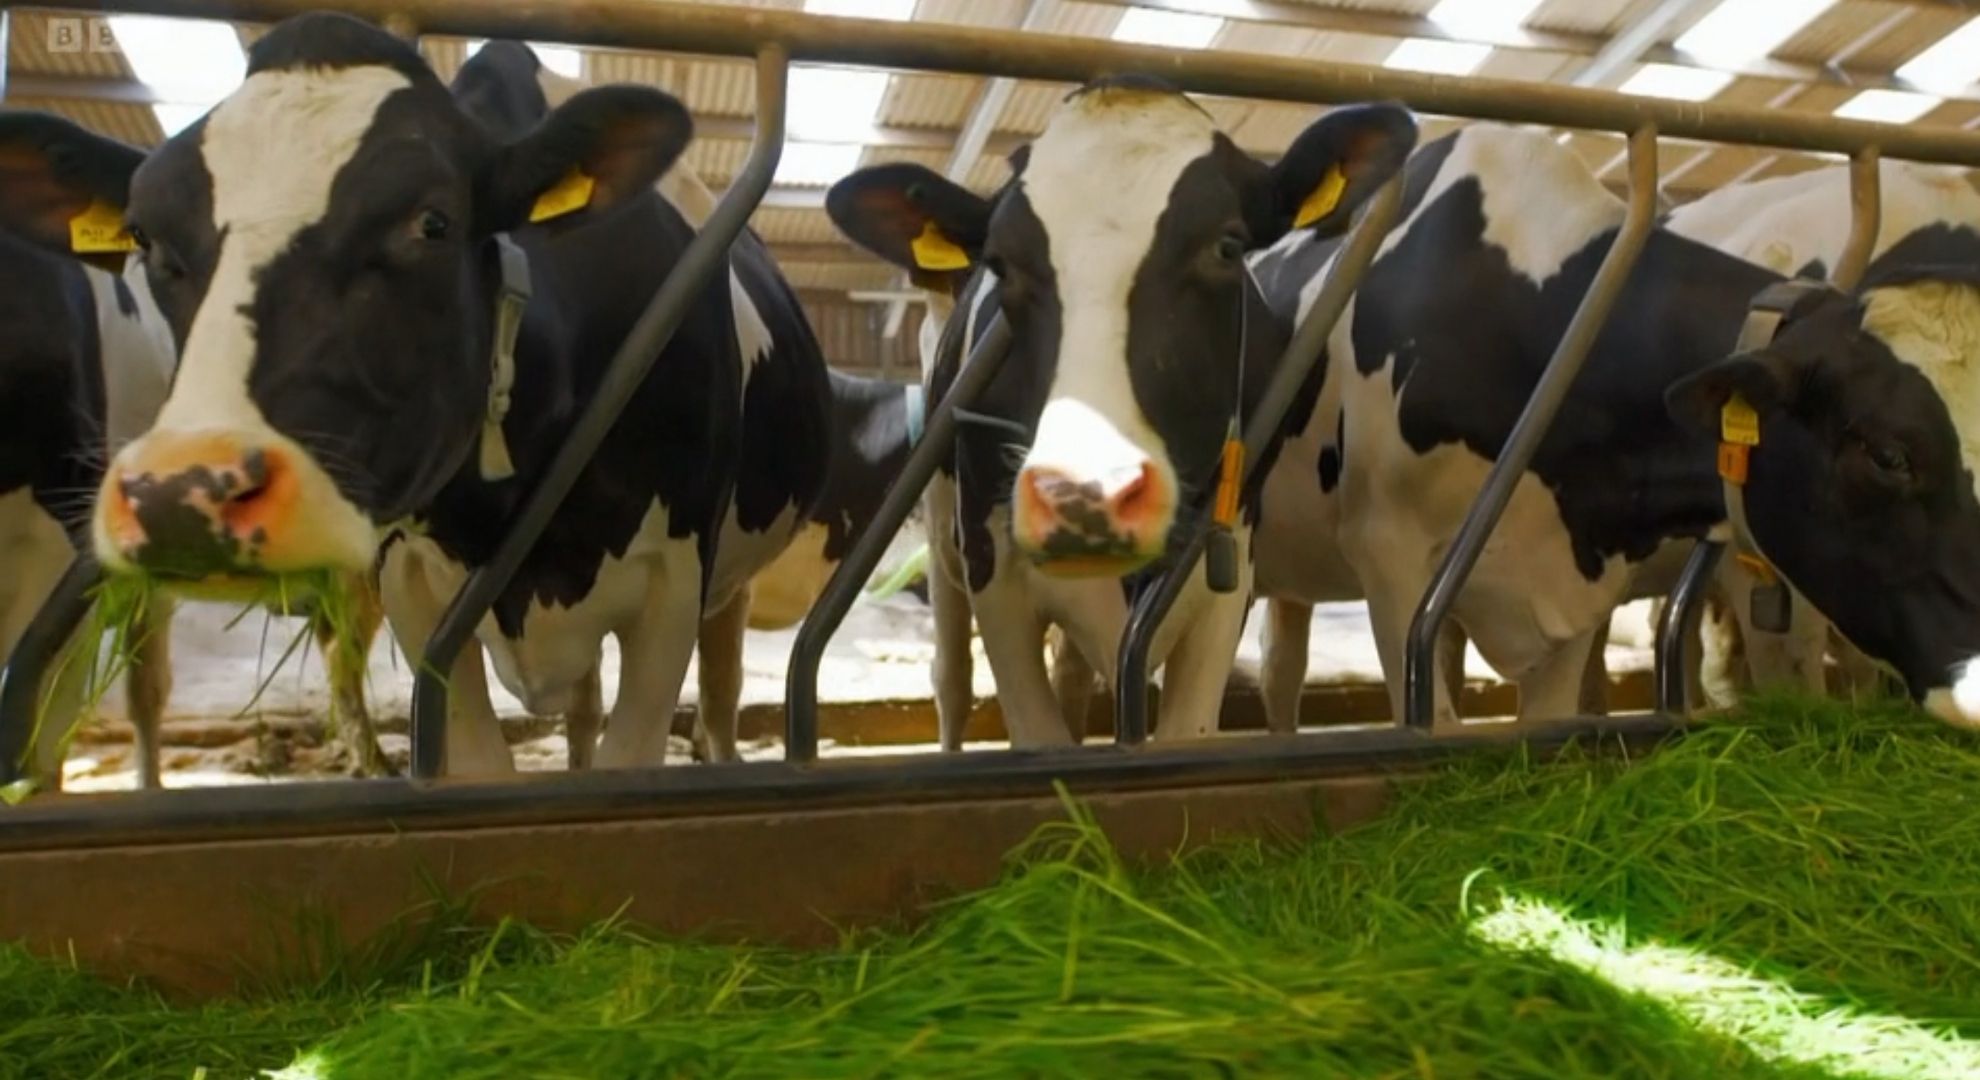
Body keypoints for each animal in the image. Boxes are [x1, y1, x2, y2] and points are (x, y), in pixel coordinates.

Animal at [79, 12, 830, 775]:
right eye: (146, 237)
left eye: (432, 222)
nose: (179, 496)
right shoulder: (411, 588)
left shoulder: (671, 581)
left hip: (728, 581)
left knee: (718, 694)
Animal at [827, 77, 1417, 745]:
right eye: (1001, 264)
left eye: (1227, 246)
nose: (1087, 494)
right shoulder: (994, 577)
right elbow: (1037, 732)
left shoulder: (1228, 567)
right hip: (940, 526)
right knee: (950, 679)